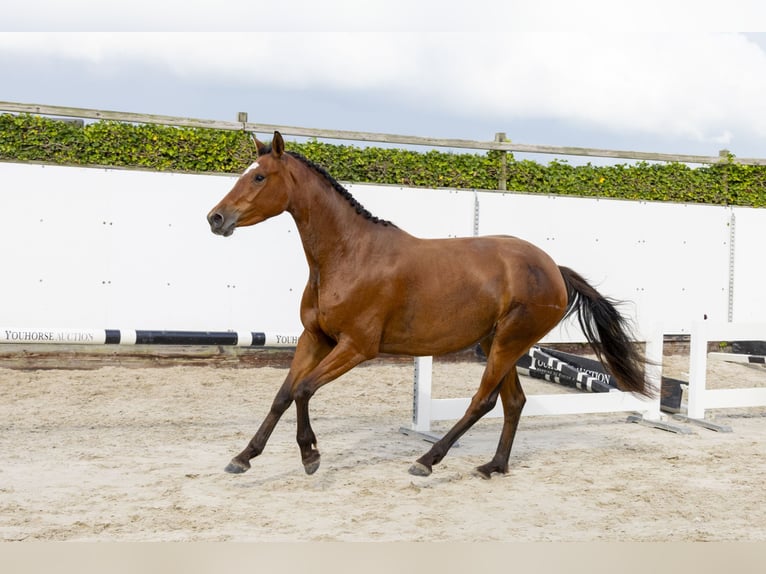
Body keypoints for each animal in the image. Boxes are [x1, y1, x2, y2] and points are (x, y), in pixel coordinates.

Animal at [207, 132, 652, 482]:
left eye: (259, 176)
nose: (216, 218)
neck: (349, 255)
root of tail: (553, 268)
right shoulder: (314, 338)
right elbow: (283, 395)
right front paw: (243, 457)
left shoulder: (356, 347)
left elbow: (303, 389)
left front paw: (310, 455)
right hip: (499, 343)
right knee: (513, 402)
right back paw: (493, 466)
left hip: (509, 342)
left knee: (483, 401)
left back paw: (427, 460)